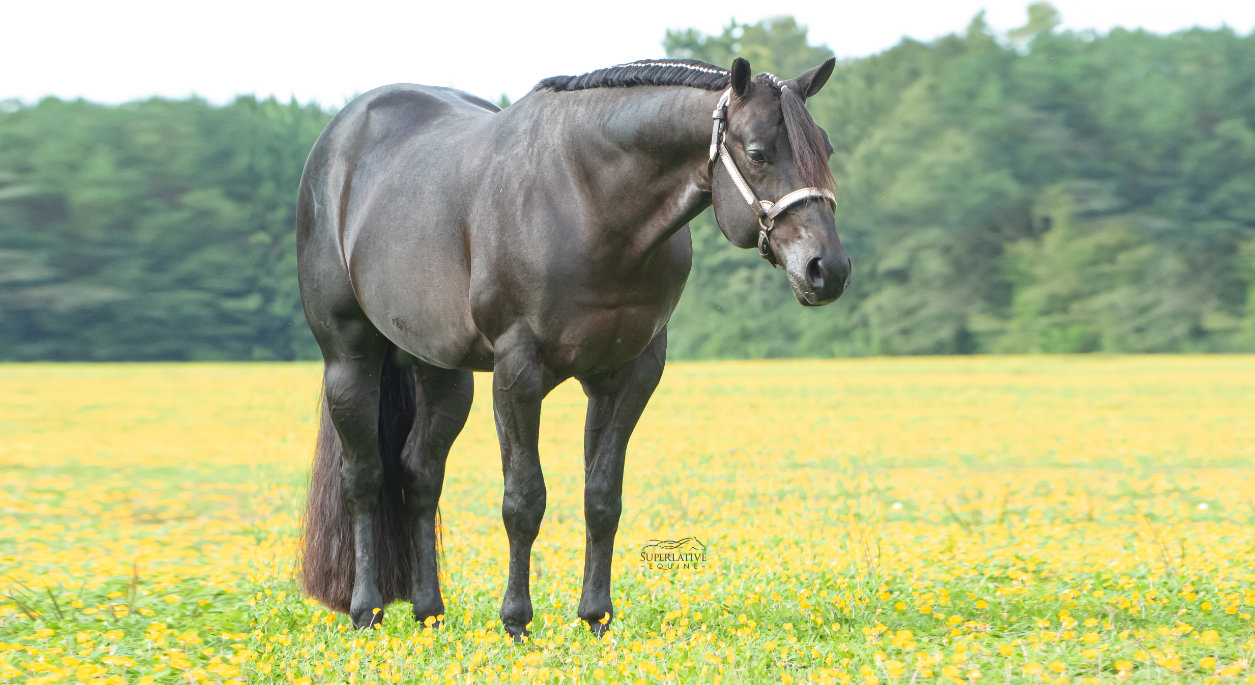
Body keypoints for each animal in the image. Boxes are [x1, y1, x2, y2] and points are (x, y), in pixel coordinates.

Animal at [297, 56, 851, 639]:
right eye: (758, 152)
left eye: (826, 148)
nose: (827, 269)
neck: (590, 202)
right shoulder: (517, 374)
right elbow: (524, 499)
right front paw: (516, 621)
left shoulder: (629, 374)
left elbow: (602, 497)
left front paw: (596, 617)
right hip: (350, 359)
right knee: (364, 477)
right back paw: (367, 610)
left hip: (442, 372)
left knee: (420, 474)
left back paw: (429, 612)